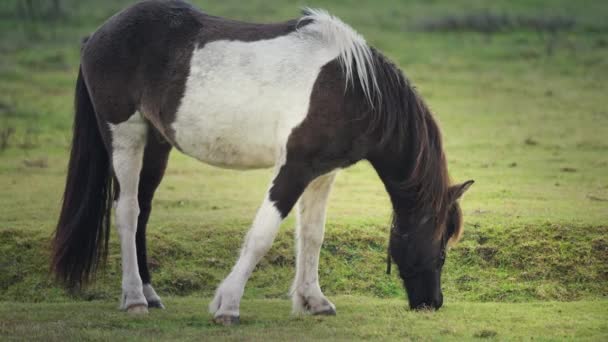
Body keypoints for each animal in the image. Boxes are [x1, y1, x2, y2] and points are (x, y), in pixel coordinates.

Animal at [50, 0, 472, 326]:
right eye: (441, 250)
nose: (432, 303)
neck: (353, 88)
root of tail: (99, 35)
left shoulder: (322, 174)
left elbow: (312, 235)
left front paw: (313, 301)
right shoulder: (294, 168)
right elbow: (262, 234)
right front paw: (227, 306)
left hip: (156, 143)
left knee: (143, 210)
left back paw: (150, 295)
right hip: (125, 135)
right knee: (127, 210)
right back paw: (135, 299)